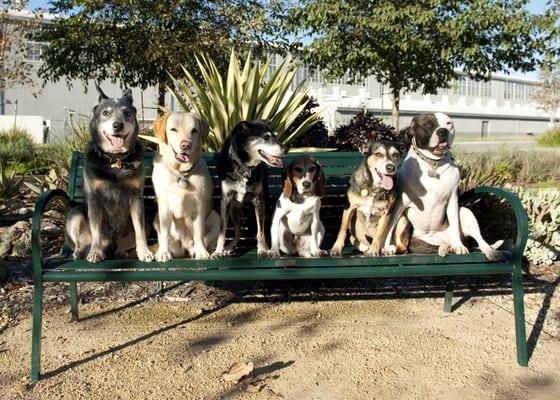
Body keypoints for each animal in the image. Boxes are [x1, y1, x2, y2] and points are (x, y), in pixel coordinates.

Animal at [65, 85, 153, 262]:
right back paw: (80, 252)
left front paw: (144, 252)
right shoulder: (94, 198)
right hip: (75, 214)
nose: (118, 125)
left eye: (127, 113)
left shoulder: (136, 197)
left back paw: (121, 252)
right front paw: (95, 252)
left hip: (145, 226)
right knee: (80, 242)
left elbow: (139, 230)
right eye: (106, 112)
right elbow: (96, 230)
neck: (115, 161)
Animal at [151, 111, 219, 260]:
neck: (180, 173)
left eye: (194, 130)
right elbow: (164, 233)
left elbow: (199, 232)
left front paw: (201, 251)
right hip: (156, 219)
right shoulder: (164, 206)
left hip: (215, 216)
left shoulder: (199, 205)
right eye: (173, 129)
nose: (186, 145)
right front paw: (163, 253)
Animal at [212, 120, 286, 258]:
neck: (244, 169)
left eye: (275, 135)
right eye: (266, 137)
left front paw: (262, 250)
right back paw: (229, 248)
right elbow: (222, 230)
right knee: (238, 232)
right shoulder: (225, 200)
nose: (286, 150)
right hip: (234, 211)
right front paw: (218, 251)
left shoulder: (259, 201)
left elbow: (260, 231)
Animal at [382, 112, 500, 260]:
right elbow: (390, 227)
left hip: (465, 213)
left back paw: (486, 250)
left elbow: (455, 224)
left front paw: (459, 246)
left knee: (479, 239)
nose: (443, 131)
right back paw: (444, 248)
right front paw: (386, 247)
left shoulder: (452, 200)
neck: (433, 163)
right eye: (428, 125)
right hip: (416, 243)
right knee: (434, 247)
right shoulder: (399, 203)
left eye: (448, 123)